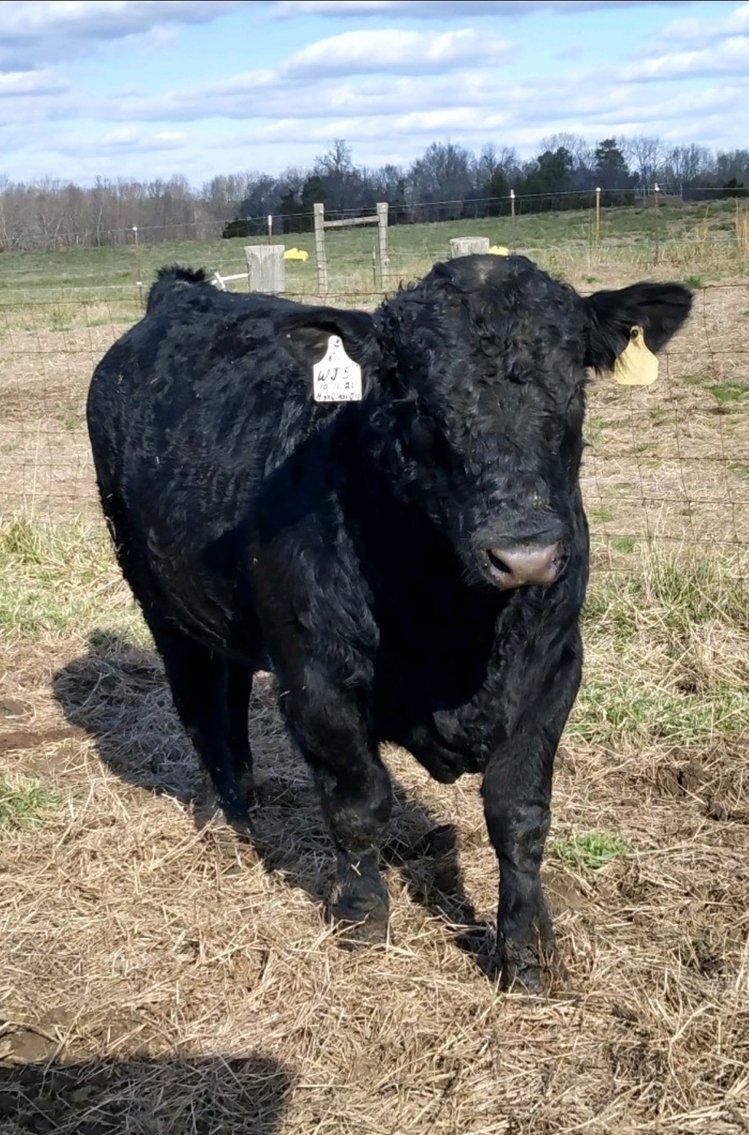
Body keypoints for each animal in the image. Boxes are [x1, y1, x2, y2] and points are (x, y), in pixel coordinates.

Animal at [86, 255, 691, 990]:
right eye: (414, 396)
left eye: (573, 381)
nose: (523, 553)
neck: (455, 621)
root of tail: (181, 294)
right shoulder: (316, 681)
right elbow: (358, 804)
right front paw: (361, 917)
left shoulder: (554, 671)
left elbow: (519, 816)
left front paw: (527, 951)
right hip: (157, 598)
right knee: (201, 705)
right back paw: (219, 815)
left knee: (227, 690)